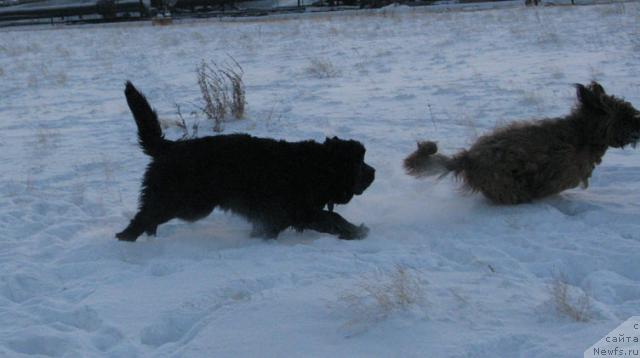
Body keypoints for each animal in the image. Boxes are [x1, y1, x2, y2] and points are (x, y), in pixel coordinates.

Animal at [115, 82, 376, 242]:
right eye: (359, 162)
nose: (374, 172)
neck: (318, 167)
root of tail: (171, 146)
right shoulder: (298, 210)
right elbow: (332, 218)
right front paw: (357, 231)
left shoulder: (275, 217)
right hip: (184, 200)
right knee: (145, 216)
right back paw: (126, 238)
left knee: (149, 216)